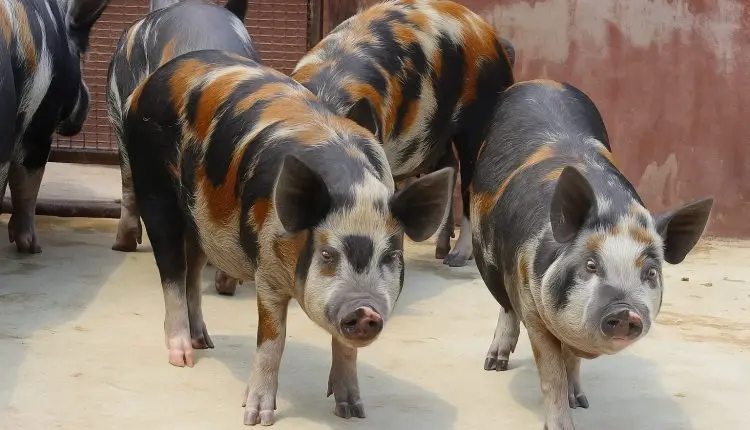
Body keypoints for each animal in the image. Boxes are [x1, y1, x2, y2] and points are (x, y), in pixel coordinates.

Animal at [121, 49, 454, 425]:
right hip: (152, 185)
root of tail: (149, 83)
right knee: (172, 271)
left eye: (391, 257)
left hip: (200, 219)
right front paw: (255, 418)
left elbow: (346, 349)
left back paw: (204, 341)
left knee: (192, 271)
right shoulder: (265, 270)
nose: (365, 310)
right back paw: (183, 358)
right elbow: (272, 340)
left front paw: (352, 411)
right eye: (327, 254)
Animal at [291, 0, 515, 267]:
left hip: (479, 121)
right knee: (450, 166)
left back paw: (456, 258)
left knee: (469, 183)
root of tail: (492, 37)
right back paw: (441, 251)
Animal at [470, 79, 714, 430]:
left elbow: (570, 361)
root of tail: (540, 81)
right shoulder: (531, 304)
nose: (625, 311)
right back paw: (494, 364)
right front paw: (562, 425)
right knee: (505, 306)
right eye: (590, 264)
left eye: (650, 272)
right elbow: (551, 372)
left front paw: (581, 402)